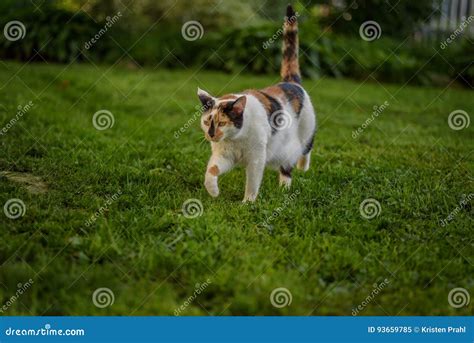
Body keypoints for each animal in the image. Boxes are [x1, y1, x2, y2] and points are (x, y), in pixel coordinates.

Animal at [198, 4, 316, 202]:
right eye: (207, 121)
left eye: (222, 123)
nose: (211, 134)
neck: (236, 139)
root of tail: (290, 82)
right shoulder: (224, 155)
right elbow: (212, 169)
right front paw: (213, 191)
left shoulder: (256, 158)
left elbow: (252, 182)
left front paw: (248, 203)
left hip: (303, 134)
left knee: (301, 153)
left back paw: (299, 172)